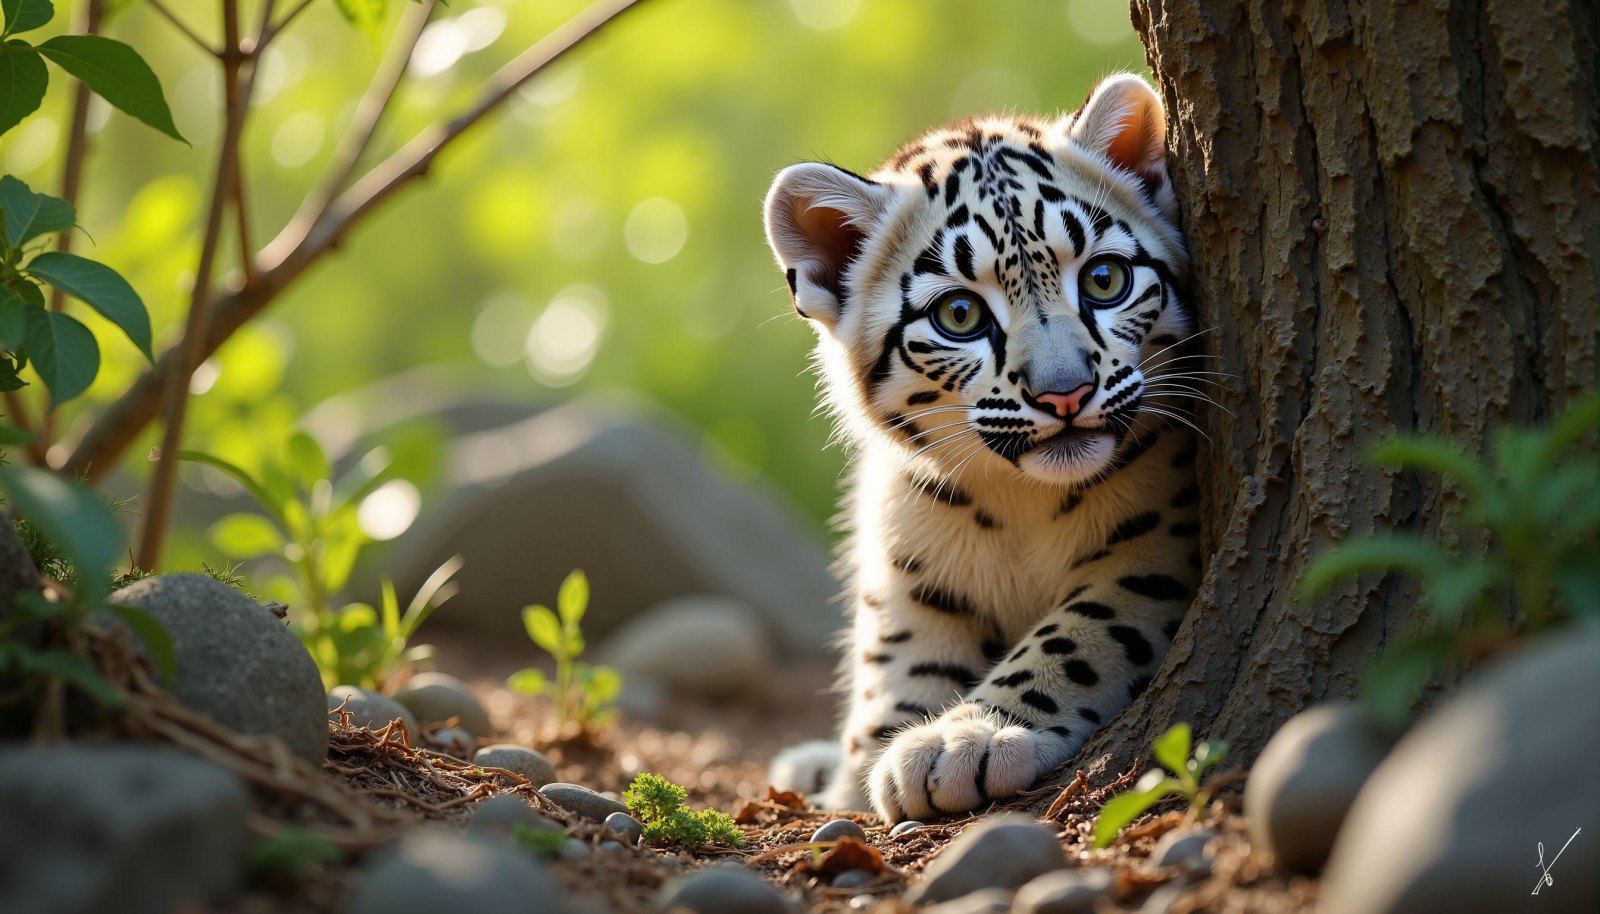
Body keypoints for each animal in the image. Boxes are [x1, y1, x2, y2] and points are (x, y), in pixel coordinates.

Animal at [761, 73, 1204, 823]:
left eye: (1105, 279)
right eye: (959, 314)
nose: (1065, 393)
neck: (1020, 505)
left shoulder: (1156, 547)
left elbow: (1082, 631)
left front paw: (966, 737)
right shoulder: (913, 577)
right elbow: (896, 671)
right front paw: (878, 766)